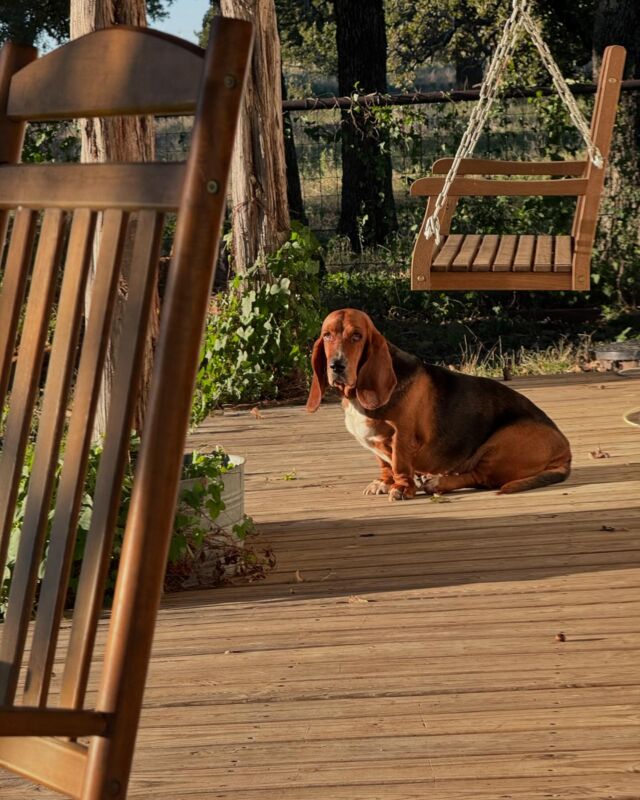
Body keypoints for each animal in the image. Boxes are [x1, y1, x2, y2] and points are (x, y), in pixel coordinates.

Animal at [304, 308, 568, 500]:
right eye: (327, 335)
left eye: (357, 336)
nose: (336, 365)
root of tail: (565, 452)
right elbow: (386, 465)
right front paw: (384, 483)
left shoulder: (402, 438)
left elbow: (400, 465)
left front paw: (401, 488)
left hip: (500, 444)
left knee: (478, 477)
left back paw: (438, 481)